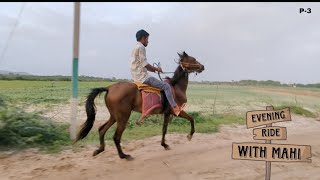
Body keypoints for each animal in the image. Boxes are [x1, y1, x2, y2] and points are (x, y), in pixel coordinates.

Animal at [74, 51, 205, 160]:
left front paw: (164, 144)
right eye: (193, 59)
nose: (202, 66)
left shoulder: (167, 113)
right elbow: (191, 119)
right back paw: (123, 155)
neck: (175, 86)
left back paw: (99, 150)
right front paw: (189, 135)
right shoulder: (176, 111)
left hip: (114, 116)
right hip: (123, 117)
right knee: (116, 136)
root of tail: (109, 88)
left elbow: (164, 129)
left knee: (102, 130)